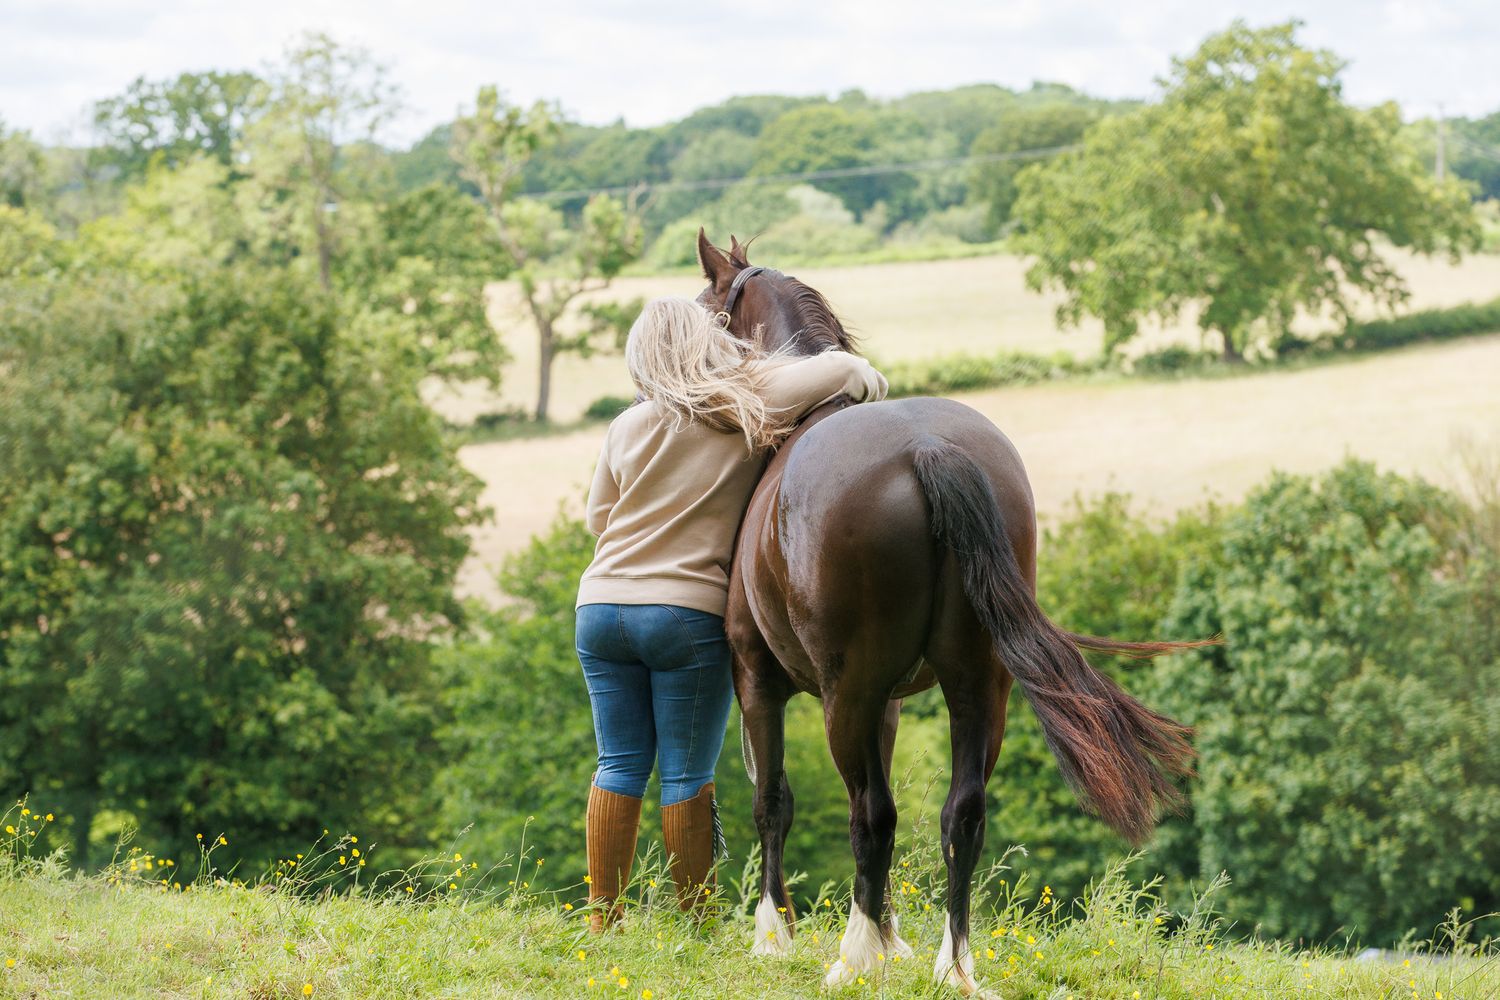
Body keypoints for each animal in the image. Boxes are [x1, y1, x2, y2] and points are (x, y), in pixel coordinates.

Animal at [695, 231, 1206, 996]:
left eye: (703, 310)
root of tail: (927, 449)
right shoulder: (891, 703)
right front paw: (892, 938)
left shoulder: (759, 680)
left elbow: (774, 801)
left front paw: (774, 936)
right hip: (977, 685)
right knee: (960, 812)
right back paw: (952, 964)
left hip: (849, 694)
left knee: (870, 814)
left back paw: (853, 959)